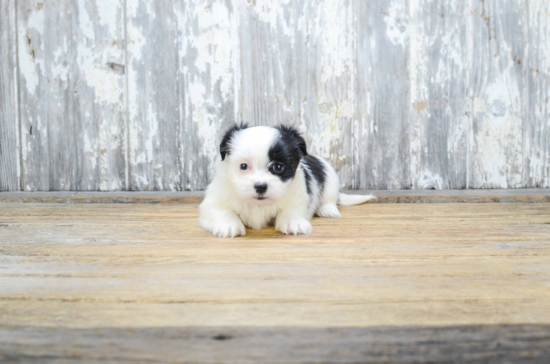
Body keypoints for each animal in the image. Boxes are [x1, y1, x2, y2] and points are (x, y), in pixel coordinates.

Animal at [201, 124, 378, 239]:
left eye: (278, 167)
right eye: (243, 166)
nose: (260, 186)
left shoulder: (297, 196)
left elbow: (291, 210)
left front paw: (294, 223)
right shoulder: (214, 200)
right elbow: (222, 211)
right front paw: (229, 225)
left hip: (330, 180)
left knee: (329, 198)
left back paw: (327, 209)